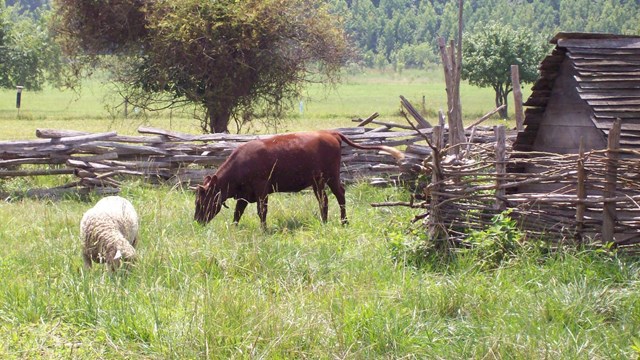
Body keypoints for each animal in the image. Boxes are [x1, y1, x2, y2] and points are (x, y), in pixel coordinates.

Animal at [195, 131, 402, 228]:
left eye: (202, 201)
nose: (197, 221)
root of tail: (330, 133)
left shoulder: (262, 190)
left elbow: (262, 211)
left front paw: (263, 230)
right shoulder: (244, 194)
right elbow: (237, 213)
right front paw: (234, 228)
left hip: (329, 177)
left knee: (337, 196)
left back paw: (340, 221)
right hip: (320, 181)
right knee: (327, 199)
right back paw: (329, 221)